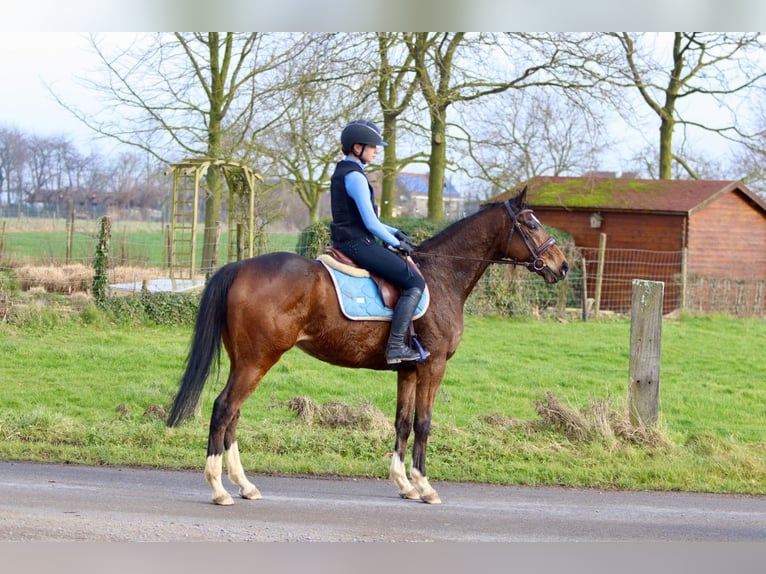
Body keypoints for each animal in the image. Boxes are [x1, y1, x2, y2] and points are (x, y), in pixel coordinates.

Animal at [171, 187, 572, 506]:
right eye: (531, 224)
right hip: (257, 359)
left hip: (246, 360)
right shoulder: (433, 366)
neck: (443, 276)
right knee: (225, 408)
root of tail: (238, 267)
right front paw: (425, 486)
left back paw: (244, 485)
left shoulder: (408, 369)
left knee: (233, 414)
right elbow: (424, 423)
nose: (563, 266)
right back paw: (219, 489)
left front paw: (404, 484)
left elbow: (403, 423)